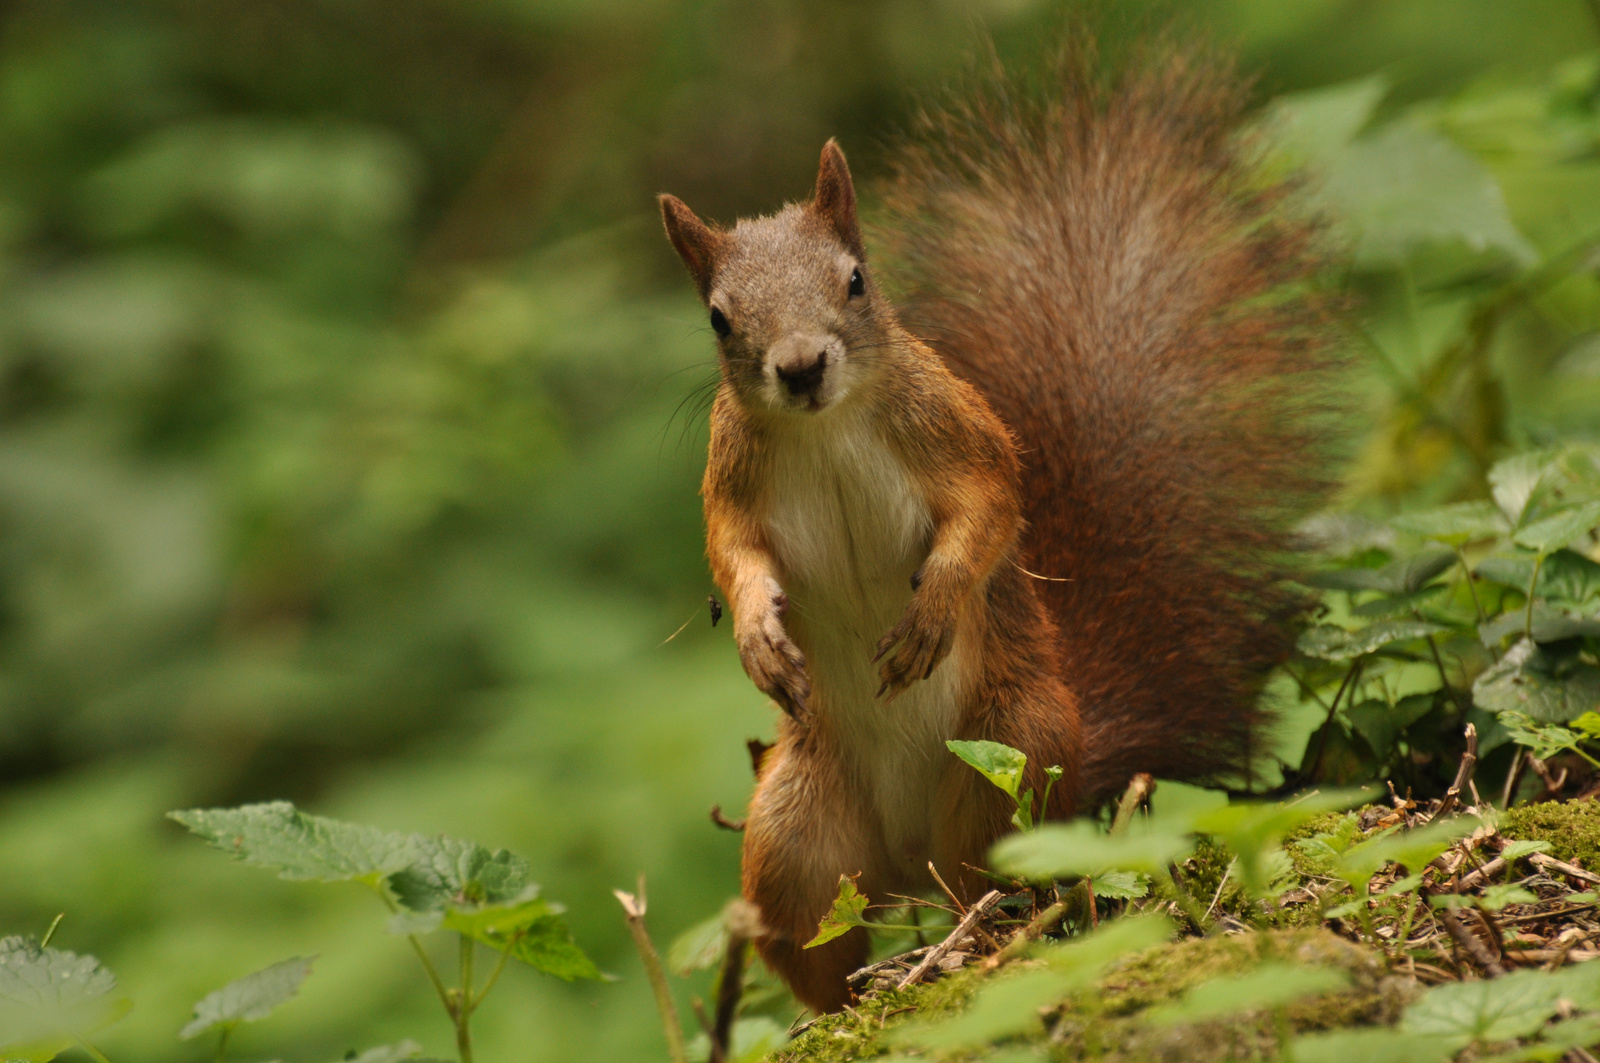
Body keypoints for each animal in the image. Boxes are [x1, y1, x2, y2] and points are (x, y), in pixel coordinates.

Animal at [656, 37, 1344, 1011]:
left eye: (855, 280)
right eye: (719, 318)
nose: (798, 367)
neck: (824, 429)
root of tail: (908, 857)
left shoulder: (955, 432)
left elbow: (989, 505)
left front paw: (932, 611)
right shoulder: (734, 480)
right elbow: (732, 555)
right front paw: (757, 635)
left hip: (1008, 761)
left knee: (999, 889)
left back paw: (979, 942)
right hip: (796, 836)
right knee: (823, 942)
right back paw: (849, 1000)